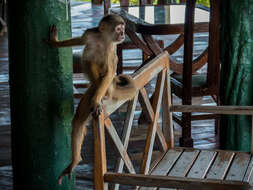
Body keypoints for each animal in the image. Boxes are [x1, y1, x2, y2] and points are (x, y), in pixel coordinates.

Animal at [46, 14, 137, 185]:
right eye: (119, 29)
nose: (122, 35)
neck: (103, 39)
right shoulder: (91, 34)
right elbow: (81, 41)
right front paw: (55, 42)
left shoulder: (111, 48)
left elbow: (109, 72)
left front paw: (95, 101)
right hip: (91, 91)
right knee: (79, 120)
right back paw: (75, 160)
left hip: (107, 88)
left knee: (104, 74)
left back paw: (99, 96)